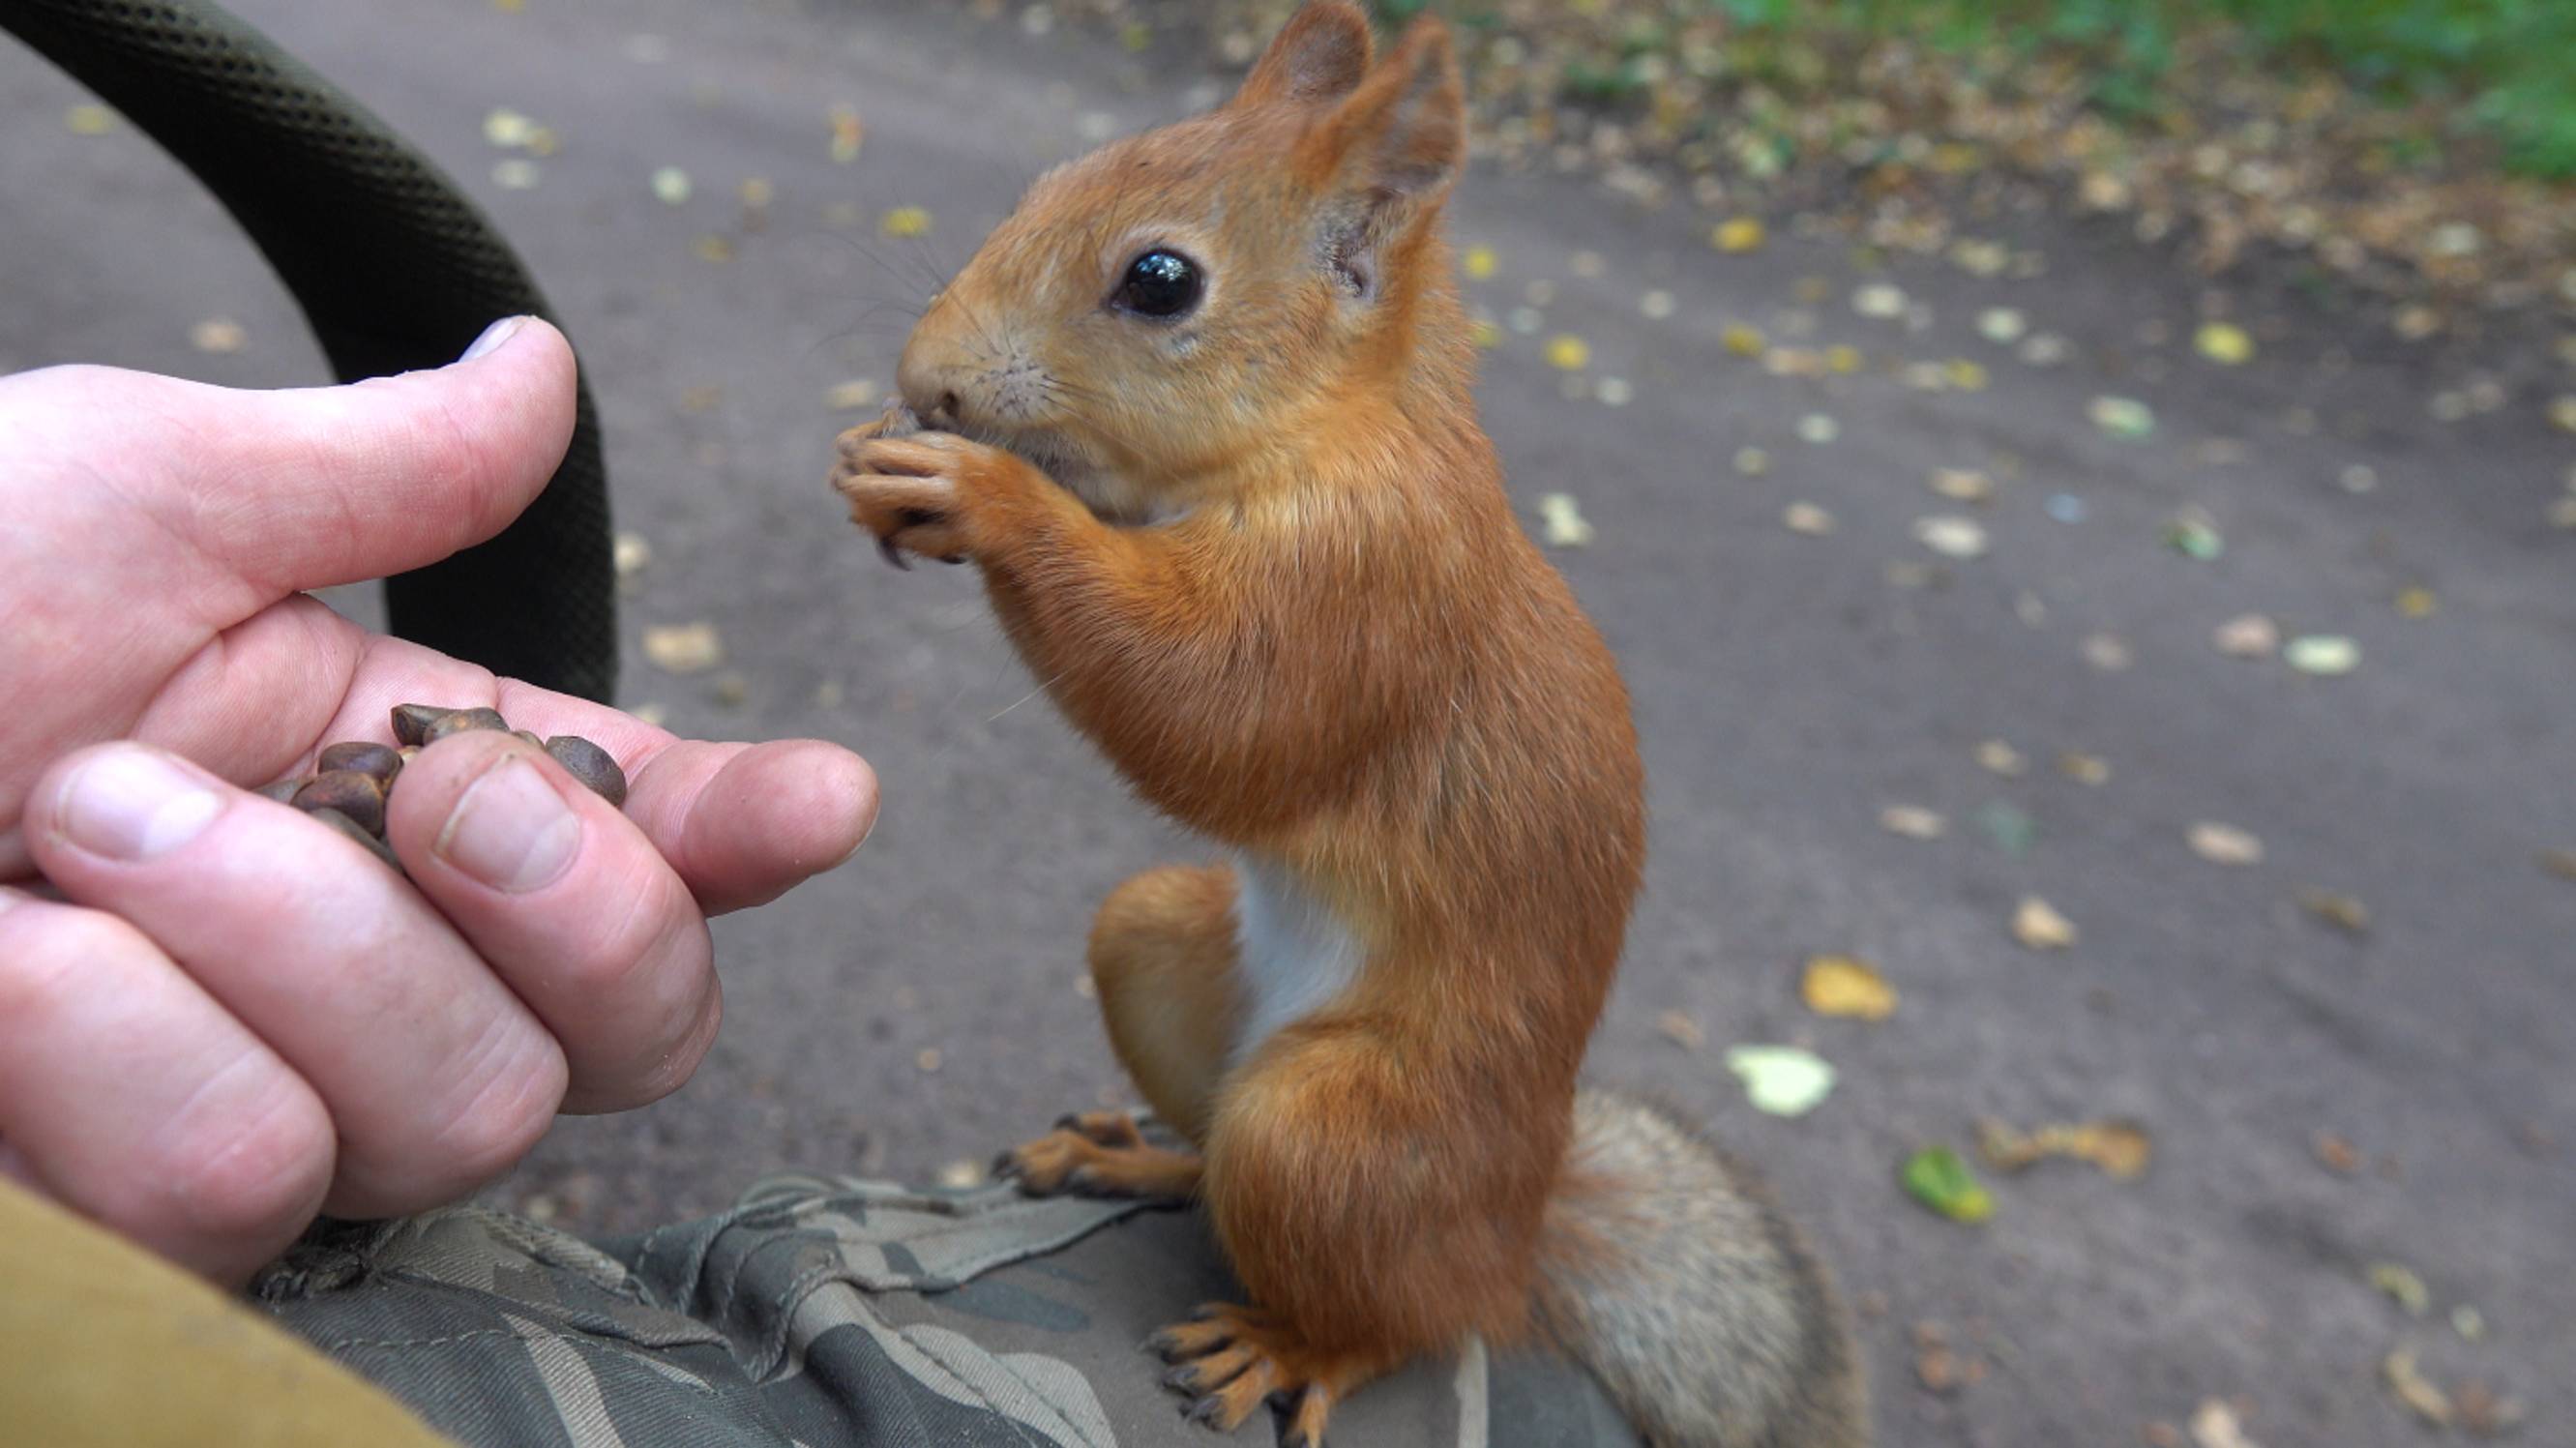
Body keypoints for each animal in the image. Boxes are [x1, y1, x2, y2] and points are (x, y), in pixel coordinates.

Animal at [831, 4, 1868, 1444]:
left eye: (1160, 281)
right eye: (1046, 184)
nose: (923, 381)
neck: (1341, 426)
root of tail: (1513, 1243)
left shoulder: (1366, 583)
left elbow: (1217, 710)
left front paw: (983, 495)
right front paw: (884, 474)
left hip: (1334, 1131)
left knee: (1396, 1316)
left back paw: (1286, 1347)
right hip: (1158, 945)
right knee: (1210, 1144)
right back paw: (1134, 1156)